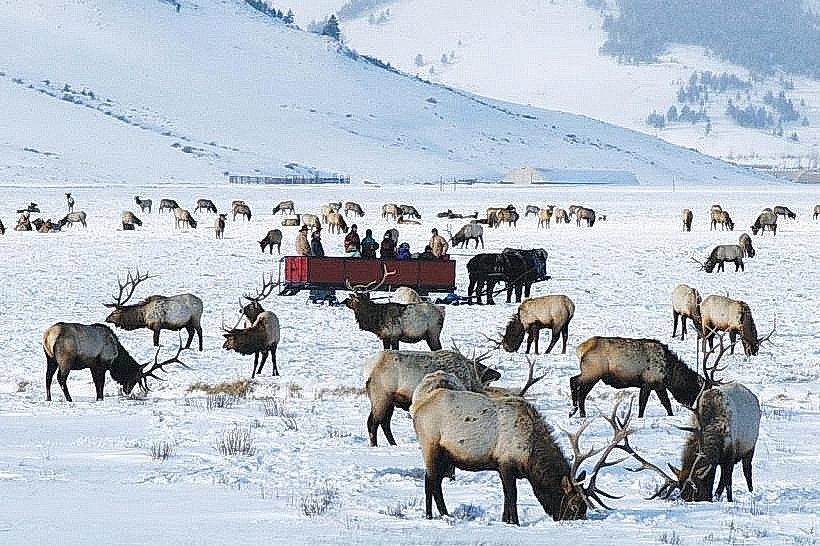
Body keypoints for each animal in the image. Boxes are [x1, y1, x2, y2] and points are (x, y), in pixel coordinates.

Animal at [43, 322, 187, 402]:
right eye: (135, 377)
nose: (127, 391)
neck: (117, 358)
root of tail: (48, 335)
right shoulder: (102, 364)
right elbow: (100, 383)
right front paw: (100, 398)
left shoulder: (93, 365)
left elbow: (97, 383)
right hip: (65, 358)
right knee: (61, 378)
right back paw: (69, 399)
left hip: (50, 358)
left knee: (48, 376)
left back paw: (49, 398)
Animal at [362, 348, 501, 446]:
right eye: (480, 365)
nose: (498, 374)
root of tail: (367, 369)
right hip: (381, 397)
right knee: (373, 422)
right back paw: (375, 445)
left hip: (388, 401)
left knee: (384, 423)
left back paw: (393, 444)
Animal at [411, 376, 636, 524]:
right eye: (574, 505)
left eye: (584, 507)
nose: (572, 521)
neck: (530, 457)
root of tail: (418, 406)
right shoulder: (505, 463)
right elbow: (512, 496)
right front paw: (516, 522)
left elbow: (506, 497)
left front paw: (506, 520)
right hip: (431, 445)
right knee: (431, 480)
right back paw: (436, 515)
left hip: (445, 454)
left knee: (433, 480)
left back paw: (438, 514)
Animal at [570, 337, 704, 418]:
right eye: (694, 389)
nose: (693, 407)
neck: (669, 373)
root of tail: (581, 349)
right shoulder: (648, 383)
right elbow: (642, 404)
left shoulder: (659, 385)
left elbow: (667, 404)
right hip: (593, 374)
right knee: (579, 389)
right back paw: (579, 413)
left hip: (589, 373)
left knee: (575, 382)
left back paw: (575, 411)